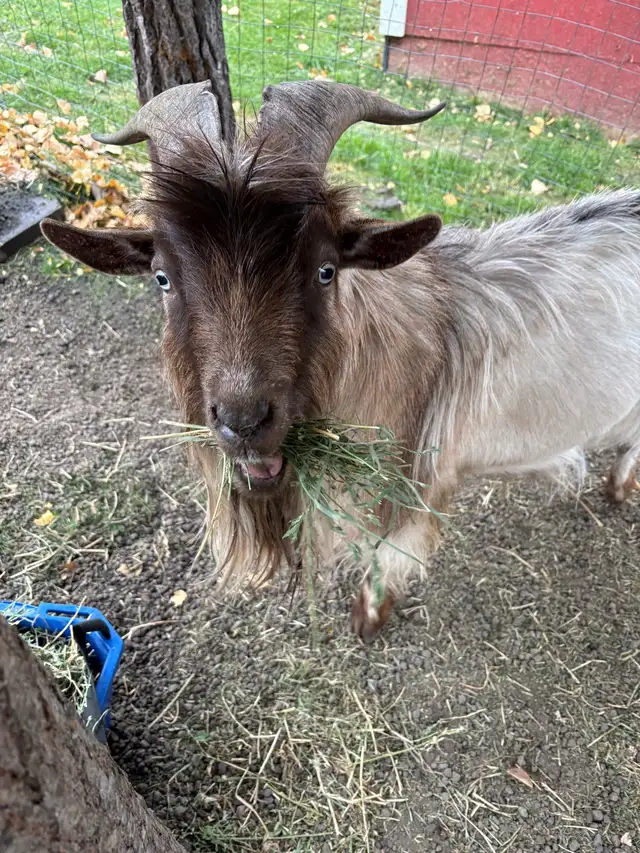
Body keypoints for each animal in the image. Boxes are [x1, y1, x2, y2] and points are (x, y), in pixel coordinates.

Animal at [41, 80, 640, 641]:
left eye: (325, 270)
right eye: (162, 278)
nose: (244, 423)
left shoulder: (412, 488)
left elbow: (385, 557)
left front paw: (368, 620)